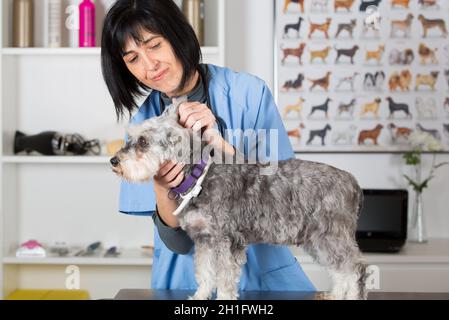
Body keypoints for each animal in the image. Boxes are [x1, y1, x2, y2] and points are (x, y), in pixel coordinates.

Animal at [111, 98, 368, 300]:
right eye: (131, 139)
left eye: (143, 141)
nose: (114, 161)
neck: (199, 178)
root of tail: (353, 183)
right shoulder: (204, 240)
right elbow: (205, 274)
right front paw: (200, 296)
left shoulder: (227, 242)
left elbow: (224, 280)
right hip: (318, 240)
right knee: (340, 270)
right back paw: (336, 295)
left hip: (332, 236)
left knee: (355, 269)